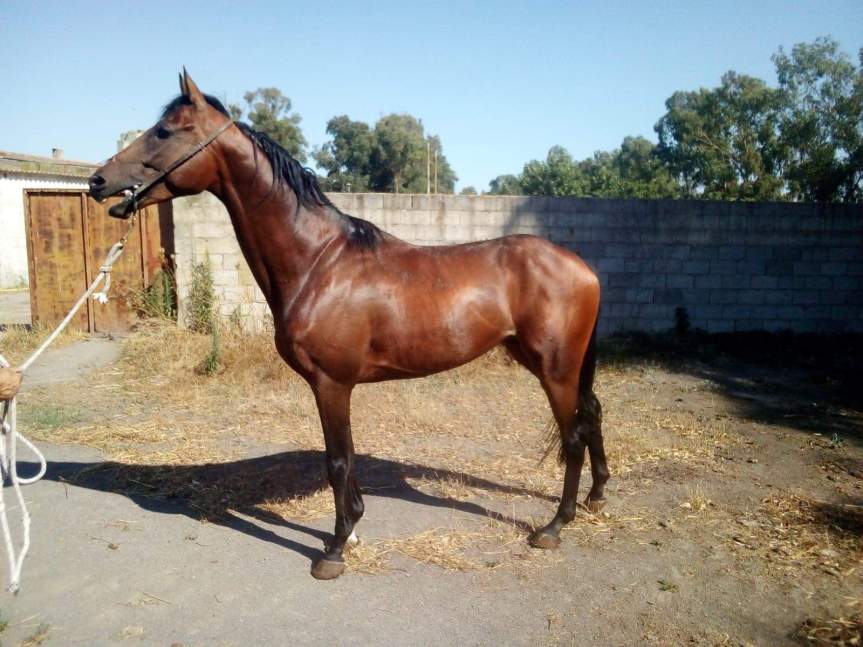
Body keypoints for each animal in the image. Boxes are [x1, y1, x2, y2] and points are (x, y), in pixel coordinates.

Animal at [89, 70, 608, 580]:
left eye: (165, 130)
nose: (98, 181)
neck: (319, 261)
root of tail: (583, 267)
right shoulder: (335, 386)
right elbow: (345, 458)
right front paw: (350, 533)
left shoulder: (331, 384)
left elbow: (337, 461)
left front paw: (335, 549)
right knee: (593, 416)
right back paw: (596, 498)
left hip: (555, 370)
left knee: (573, 437)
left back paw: (554, 526)